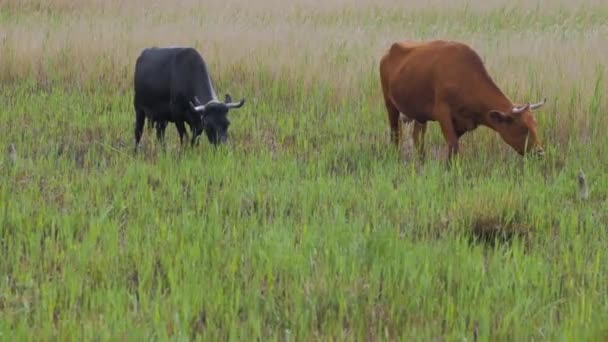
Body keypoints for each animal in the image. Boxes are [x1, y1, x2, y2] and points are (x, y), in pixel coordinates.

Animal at [380, 39, 548, 160]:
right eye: (524, 128)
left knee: (417, 138)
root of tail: (388, 52)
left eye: (535, 125)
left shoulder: (465, 122)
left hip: (419, 115)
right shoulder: (442, 113)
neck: (466, 77)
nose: (540, 152)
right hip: (390, 104)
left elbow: (452, 147)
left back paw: (422, 161)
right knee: (395, 135)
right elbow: (454, 146)